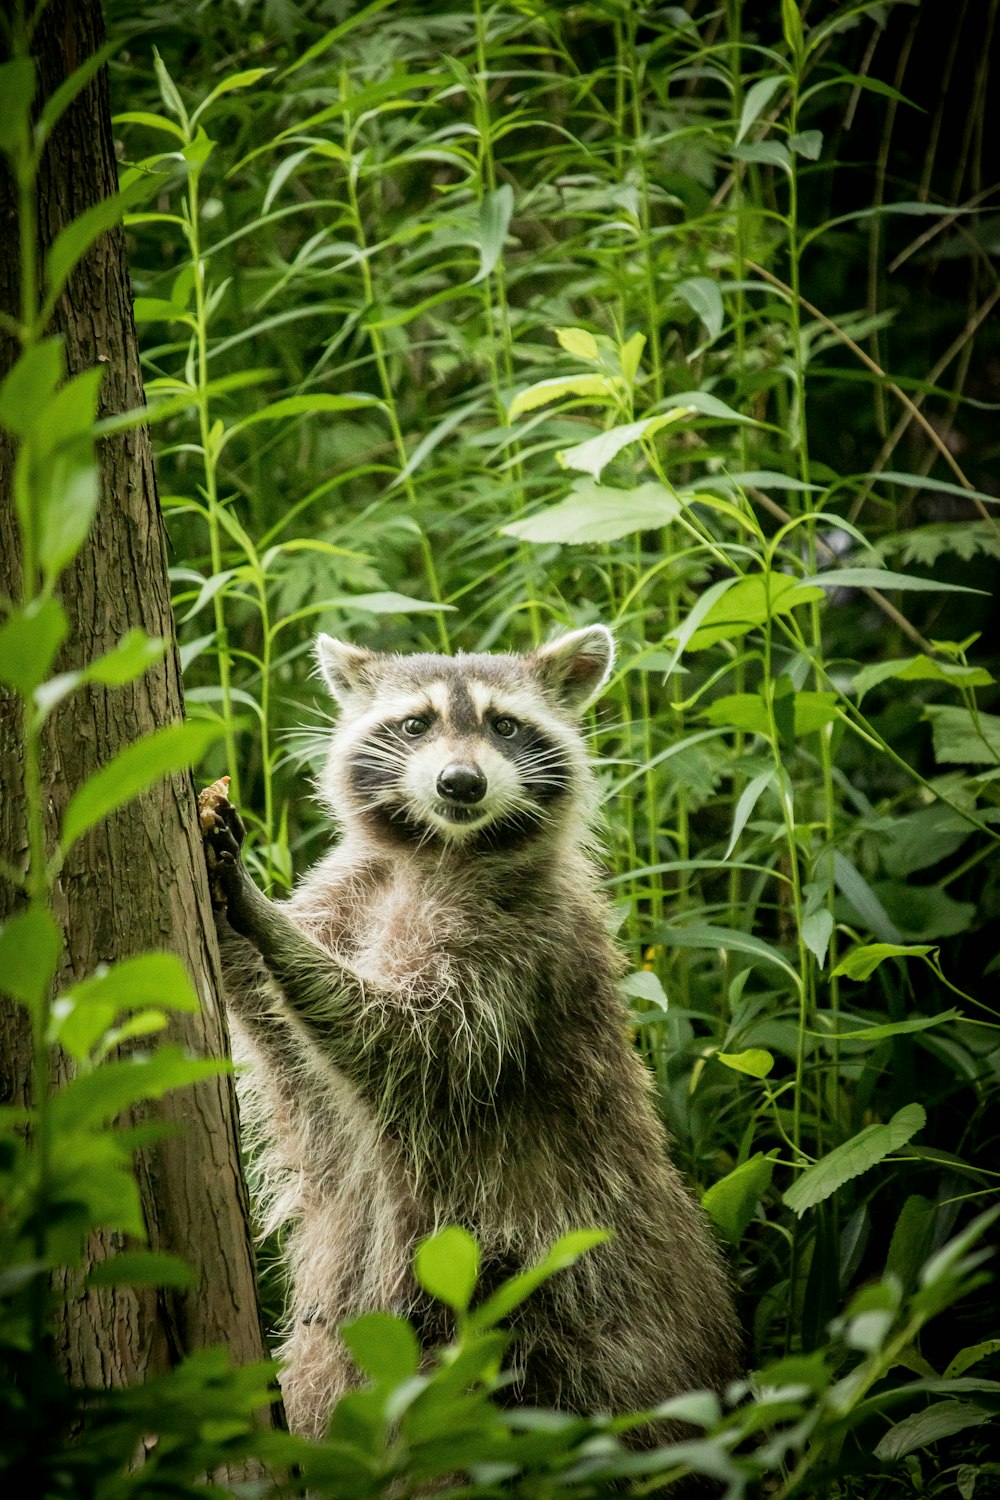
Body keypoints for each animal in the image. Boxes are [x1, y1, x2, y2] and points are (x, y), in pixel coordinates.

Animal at [199, 624, 740, 1452]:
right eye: (415, 723)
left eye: (505, 726)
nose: (461, 783)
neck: (438, 849)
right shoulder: (355, 888)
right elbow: (277, 1024)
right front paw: (240, 930)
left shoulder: (519, 948)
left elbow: (410, 1041)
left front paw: (263, 919)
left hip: (576, 1289)